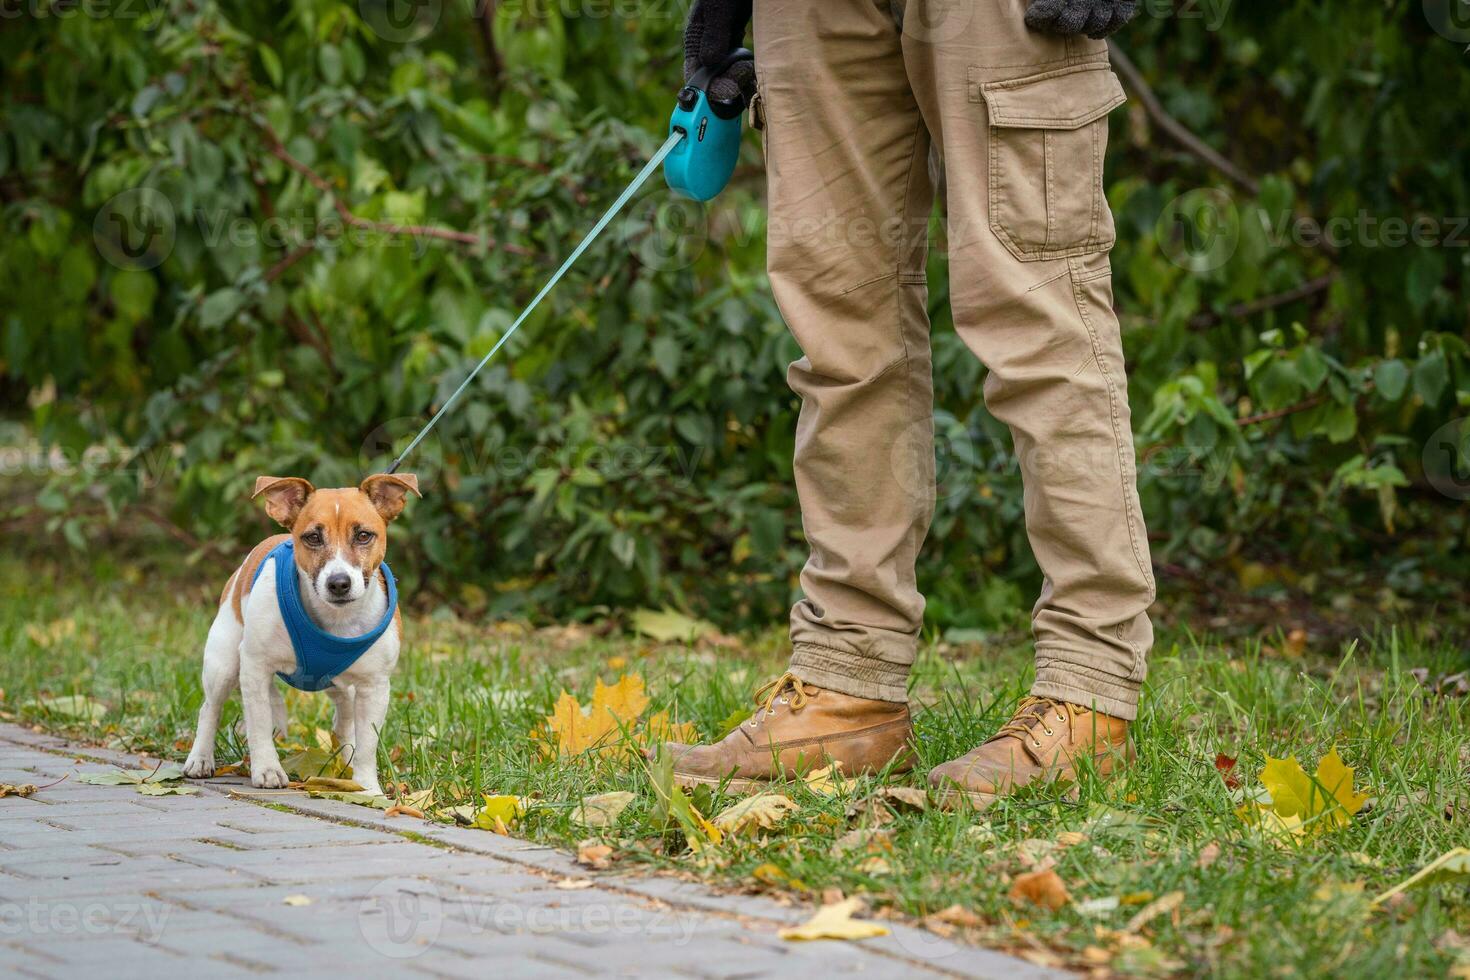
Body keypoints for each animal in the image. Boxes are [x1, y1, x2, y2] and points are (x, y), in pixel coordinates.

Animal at [185, 476, 420, 799]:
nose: (339, 583)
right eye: (312, 537)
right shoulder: (255, 668)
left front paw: (367, 787)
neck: (335, 619)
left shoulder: (374, 687)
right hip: (224, 664)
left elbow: (367, 742)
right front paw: (267, 769)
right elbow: (259, 723)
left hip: (340, 685)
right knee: (211, 708)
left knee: (344, 719)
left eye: (363, 535)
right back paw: (200, 758)